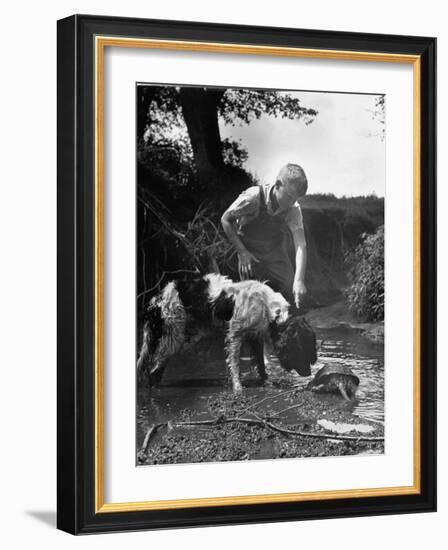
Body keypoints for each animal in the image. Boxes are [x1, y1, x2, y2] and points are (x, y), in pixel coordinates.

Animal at [138, 274, 316, 394]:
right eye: (303, 349)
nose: (309, 374)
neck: (266, 306)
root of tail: (156, 299)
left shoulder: (255, 336)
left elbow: (260, 364)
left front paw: (267, 381)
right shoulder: (235, 335)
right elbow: (235, 364)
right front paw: (238, 388)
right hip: (174, 338)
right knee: (153, 370)